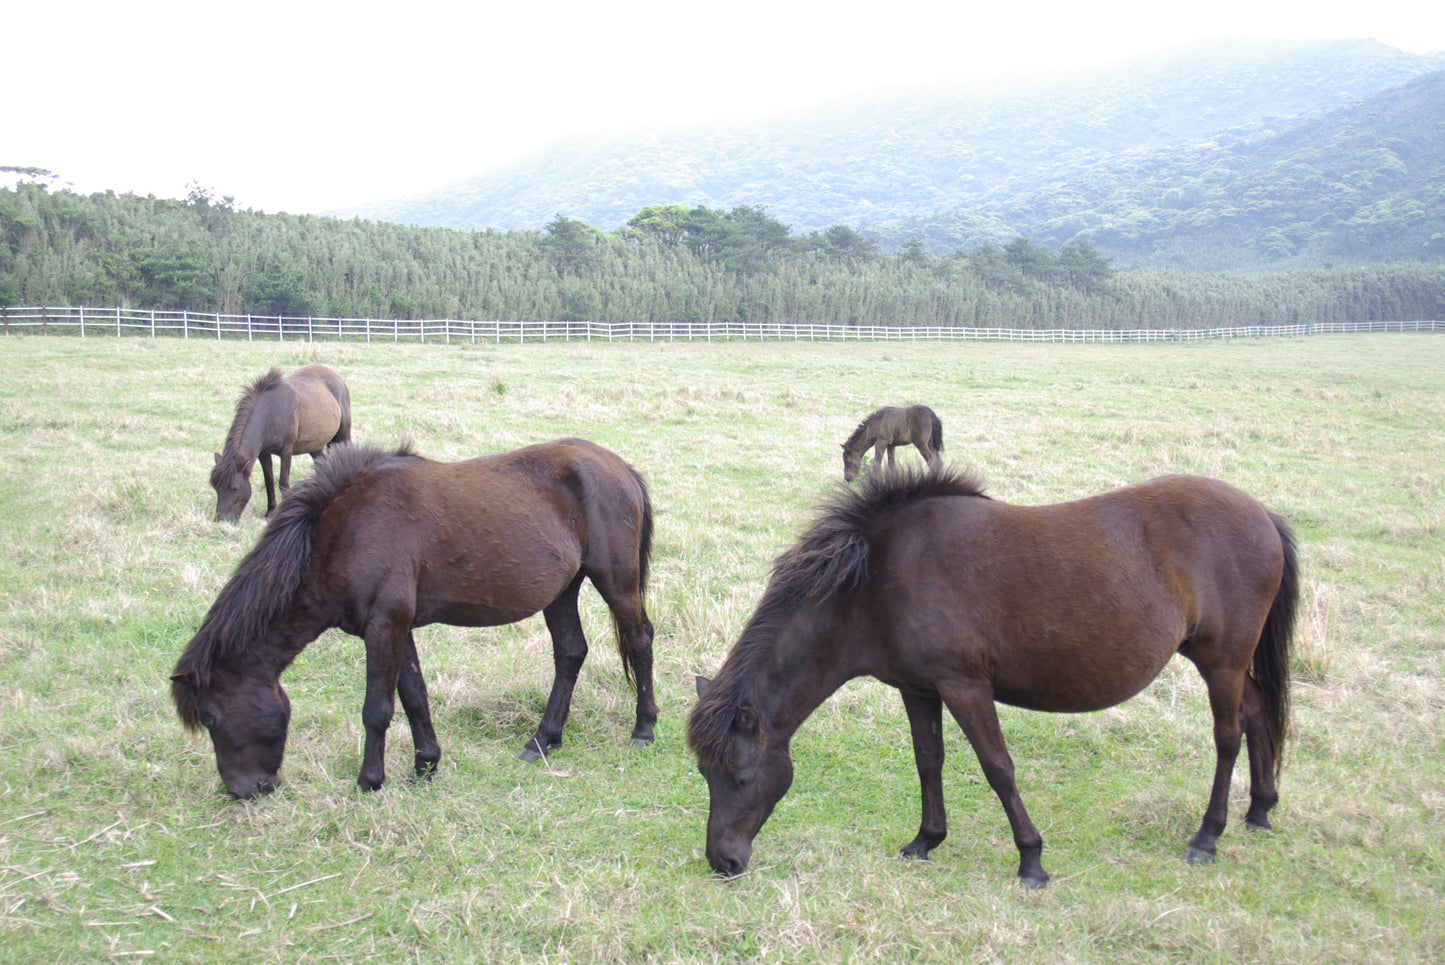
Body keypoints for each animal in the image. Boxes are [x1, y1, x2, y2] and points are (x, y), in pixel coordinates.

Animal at [172, 438, 658, 800]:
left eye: (211, 718)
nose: (244, 791)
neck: (345, 531)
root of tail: (621, 468)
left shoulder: (384, 626)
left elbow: (377, 708)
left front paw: (370, 781)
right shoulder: (396, 628)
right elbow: (414, 697)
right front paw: (426, 764)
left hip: (615, 582)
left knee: (640, 642)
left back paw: (643, 729)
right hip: (561, 591)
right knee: (571, 653)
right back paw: (542, 741)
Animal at [210, 364, 352, 522]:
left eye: (234, 488)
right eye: (216, 488)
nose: (221, 520)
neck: (269, 414)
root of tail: (336, 376)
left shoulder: (286, 452)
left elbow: (283, 484)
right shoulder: (264, 454)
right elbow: (269, 481)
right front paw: (270, 512)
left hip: (343, 434)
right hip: (314, 445)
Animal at [688, 467, 1297, 887]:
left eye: (740, 776)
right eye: (704, 774)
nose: (723, 861)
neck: (878, 578)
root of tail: (1263, 513)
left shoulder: (965, 687)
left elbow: (997, 768)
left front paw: (1031, 860)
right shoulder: (918, 688)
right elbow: (928, 761)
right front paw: (925, 841)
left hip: (1221, 661)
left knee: (1228, 737)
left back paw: (1207, 837)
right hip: (1223, 661)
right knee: (1257, 714)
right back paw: (1260, 809)